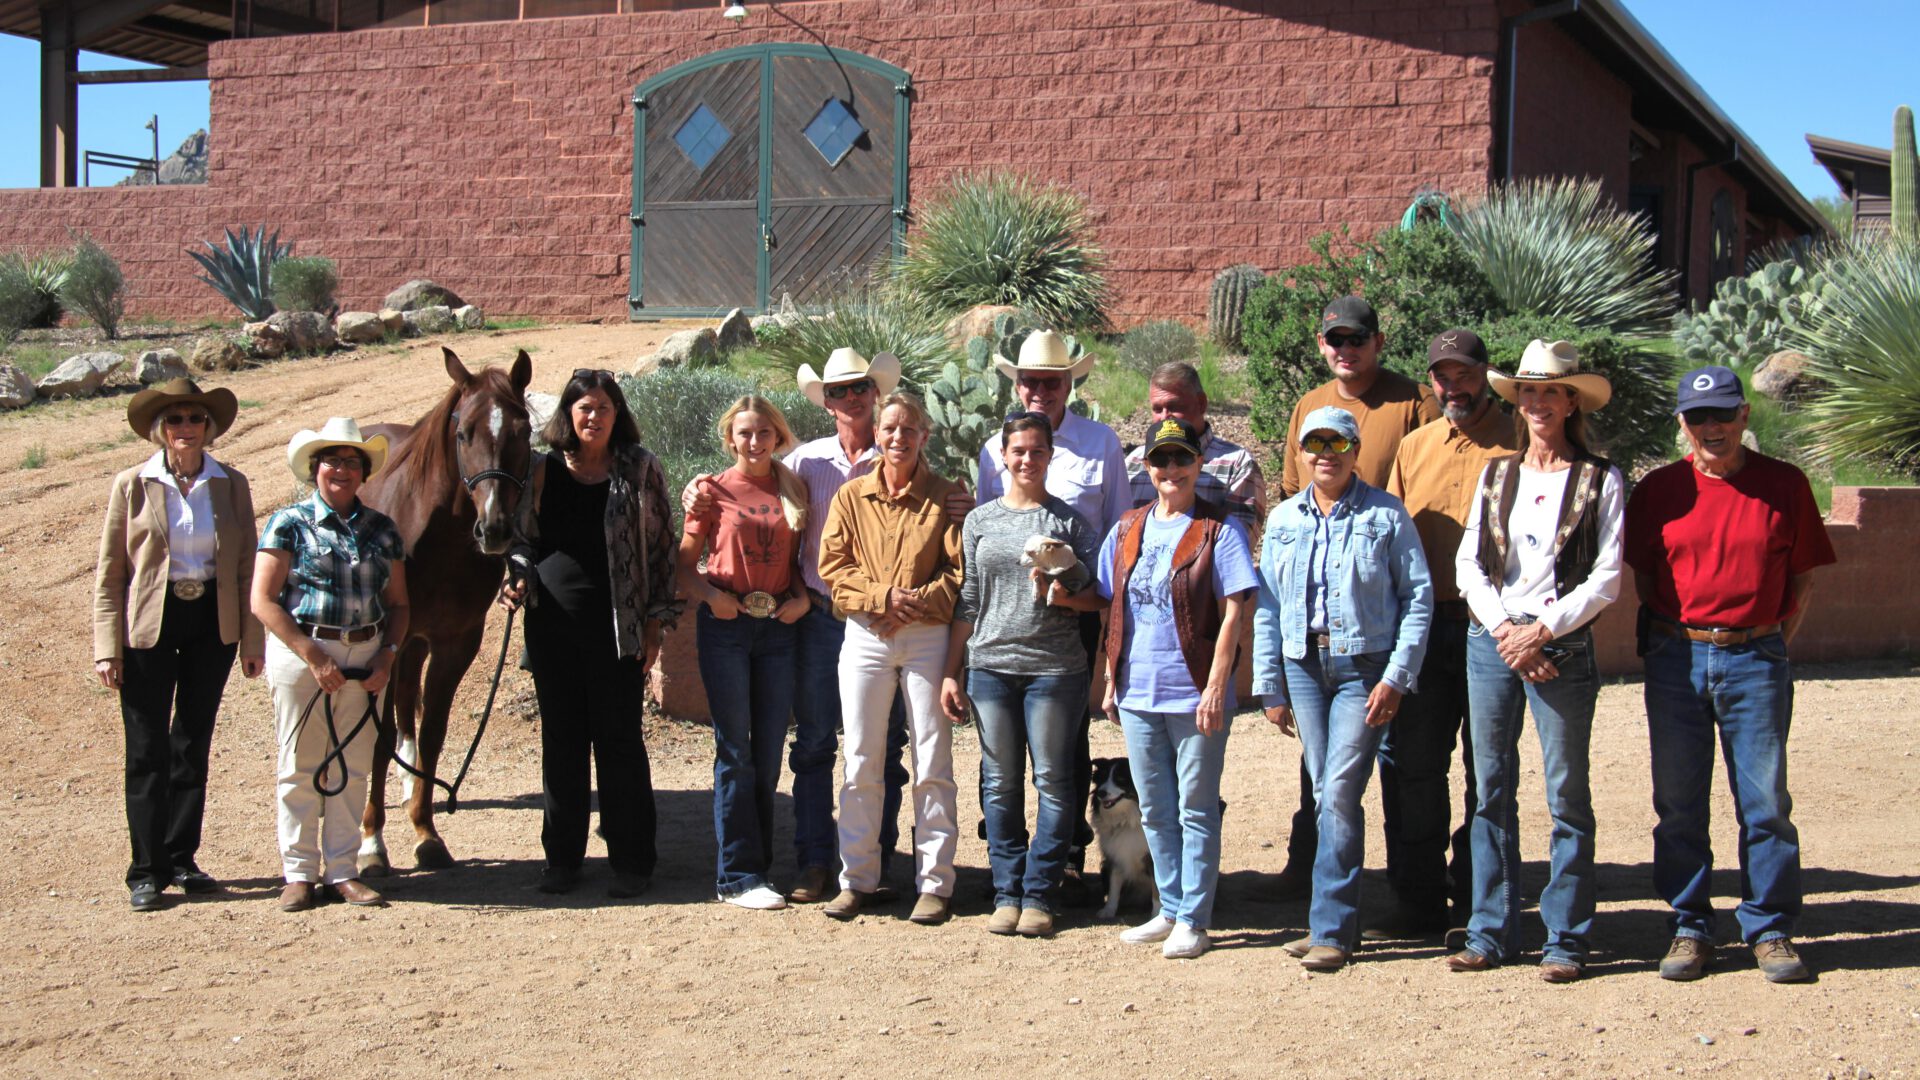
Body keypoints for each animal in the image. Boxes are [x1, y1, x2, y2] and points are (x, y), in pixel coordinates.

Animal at [353, 349, 529, 868]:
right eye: (463, 433)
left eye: (523, 431)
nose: (494, 529)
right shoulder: (389, 644)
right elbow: (379, 737)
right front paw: (372, 840)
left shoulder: (456, 641)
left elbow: (432, 730)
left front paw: (425, 831)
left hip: (415, 643)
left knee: (407, 706)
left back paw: (410, 778)